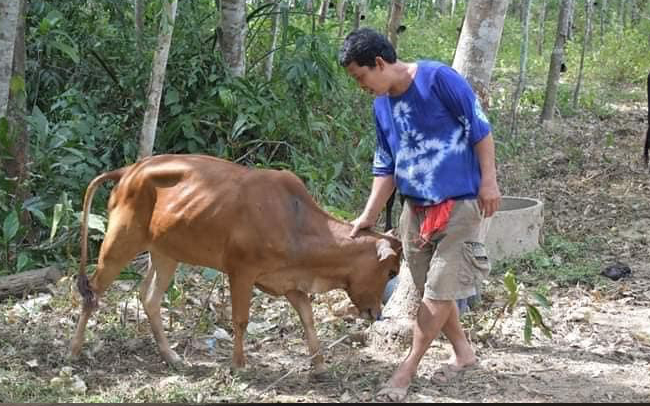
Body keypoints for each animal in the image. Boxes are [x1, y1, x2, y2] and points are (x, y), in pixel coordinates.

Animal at [68, 153, 398, 374]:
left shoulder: (288, 282)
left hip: (166, 252)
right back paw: (74, 351)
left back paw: (171, 357)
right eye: (391, 271)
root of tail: (130, 169)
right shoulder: (241, 271)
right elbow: (241, 320)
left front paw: (318, 364)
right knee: (92, 291)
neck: (296, 222)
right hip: (120, 241)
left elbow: (307, 318)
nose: (377, 313)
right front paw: (238, 364)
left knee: (149, 296)